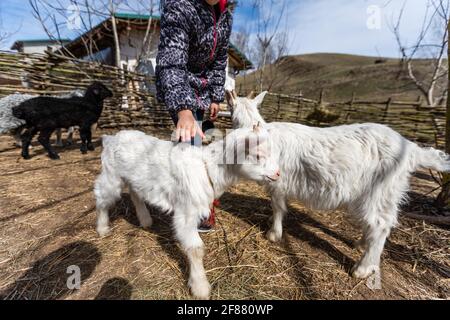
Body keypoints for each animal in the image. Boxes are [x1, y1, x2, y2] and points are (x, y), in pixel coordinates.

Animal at [93, 126, 280, 298]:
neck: (207, 168)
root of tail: (111, 138)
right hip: (111, 176)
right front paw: (200, 287)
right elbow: (195, 249)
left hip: (135, 179)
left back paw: (145, 220)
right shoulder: (186, 212)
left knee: (135, 193)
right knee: (101, 197)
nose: (278, 173)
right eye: (258, 155)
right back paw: (102, 228)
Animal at [229, 90, 450, 280]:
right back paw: (360, 244)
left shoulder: (277, 181)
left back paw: (362, 269)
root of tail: (411, 149)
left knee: (380, 225)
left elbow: (277, 207)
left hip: (381, 189)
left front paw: (273, 234)